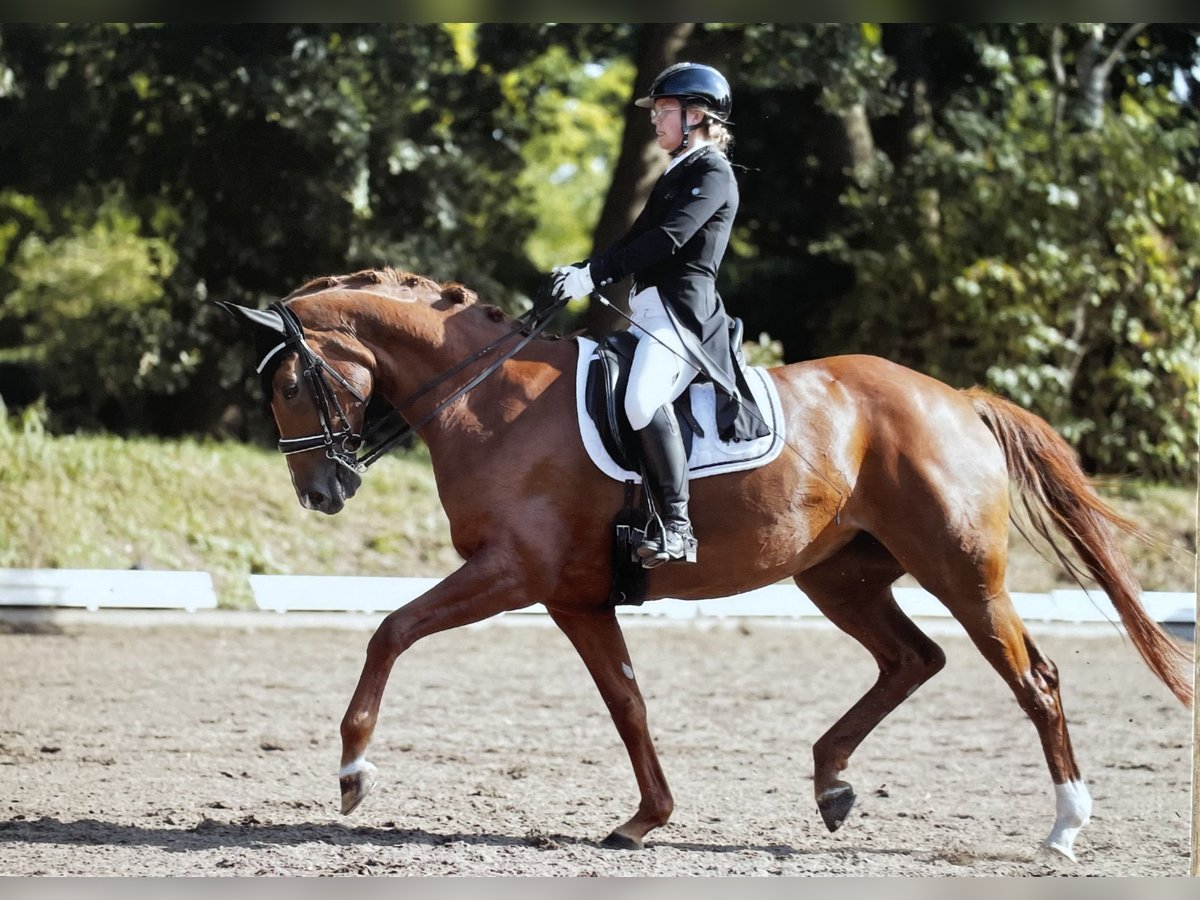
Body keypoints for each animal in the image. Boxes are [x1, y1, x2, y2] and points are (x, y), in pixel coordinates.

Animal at [219, 266, 1192, 863]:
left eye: (291, 384)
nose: (321, 492)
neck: (487, 400)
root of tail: (956, 398)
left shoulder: (512, 575)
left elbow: (391, 630)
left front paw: (353, 773)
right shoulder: (574, 597)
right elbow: (628, 703)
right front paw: (646, 820)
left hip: (961, 570)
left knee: (1034, 679)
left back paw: (1064, 829)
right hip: (840, 576)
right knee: (913, 659)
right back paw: (832, 783)